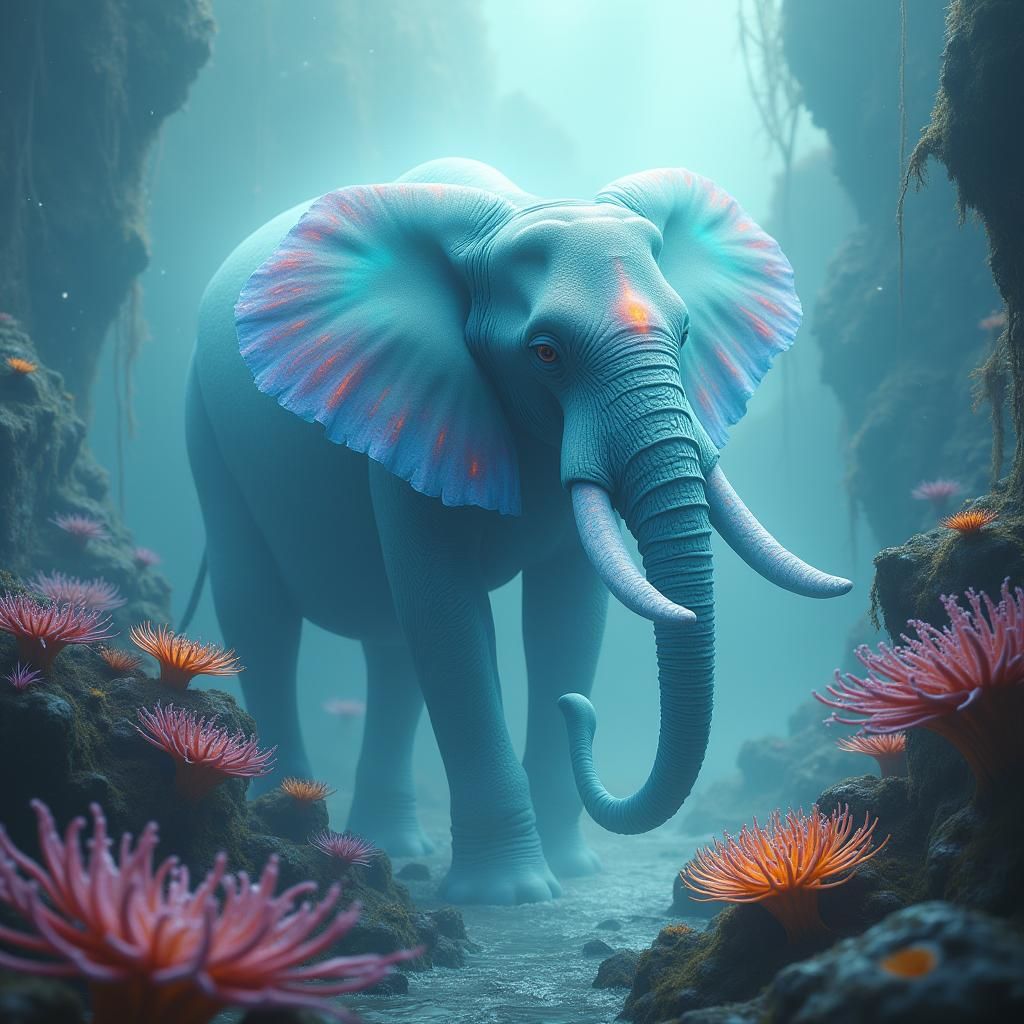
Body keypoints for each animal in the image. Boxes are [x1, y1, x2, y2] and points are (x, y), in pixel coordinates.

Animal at [186, 157, 851, 905]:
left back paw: (388, 846)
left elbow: (565, 617)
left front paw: (572, 872)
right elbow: (450, 615)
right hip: (204, 426)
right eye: (546, 352)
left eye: (685, 333)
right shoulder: (408, 403)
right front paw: (511, 896)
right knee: (260, 614)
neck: (514, 212)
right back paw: (289, 824)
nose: (577, 710)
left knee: (392, 647)